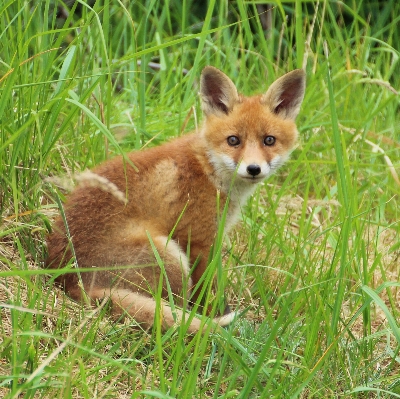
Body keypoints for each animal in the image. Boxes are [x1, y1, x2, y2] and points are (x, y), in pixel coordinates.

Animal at [45, 66, 304, 334]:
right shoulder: (199, 240)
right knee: (175, 305)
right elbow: (206, 290)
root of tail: (73, 281)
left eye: (269, 140)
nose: (253, 169)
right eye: (233, 140)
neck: (208, 169)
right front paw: (213, 314)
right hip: (170, 255)